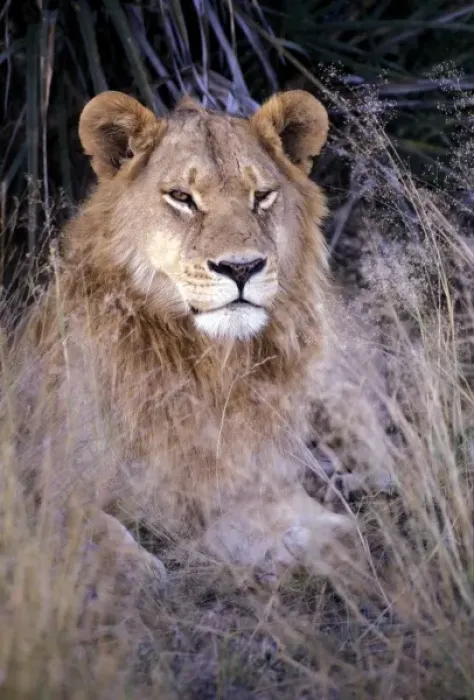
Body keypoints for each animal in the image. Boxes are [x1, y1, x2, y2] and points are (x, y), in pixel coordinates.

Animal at [8, 89, 355, 588]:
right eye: (181, 198)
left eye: (262, 196)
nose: (241, 267)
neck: (206, 364)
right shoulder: (33, 475)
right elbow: (77, 522)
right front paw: (132, 571)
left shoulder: (232, 486)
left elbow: (309, 522)